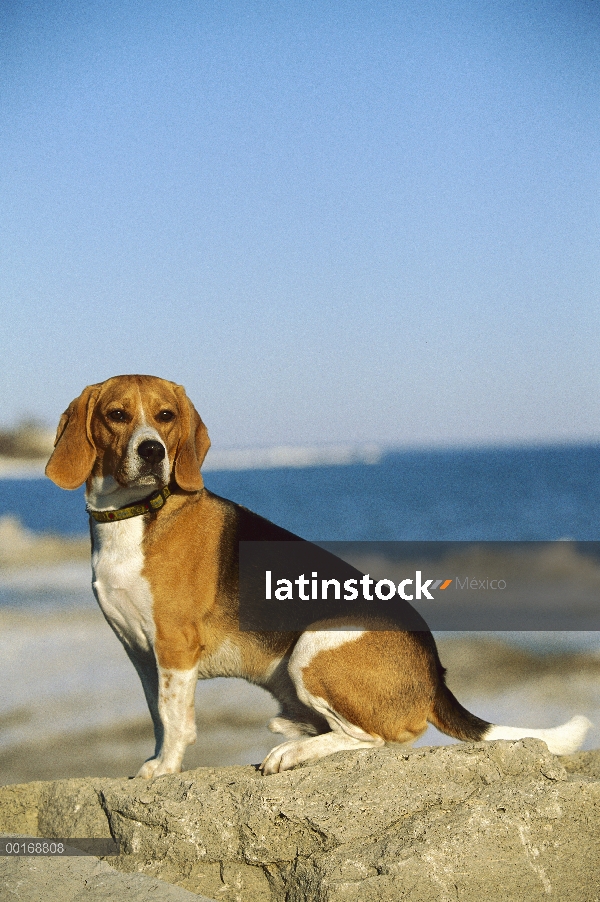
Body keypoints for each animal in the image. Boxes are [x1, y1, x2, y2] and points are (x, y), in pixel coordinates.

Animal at [45, 374, 592, 776]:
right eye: (117, 415)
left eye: (166, 417)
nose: (153, 451)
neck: (137, 514)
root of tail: (434, 673)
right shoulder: (141, 653)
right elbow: (159, 716)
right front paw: (158, 758)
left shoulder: (174, 648)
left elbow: (176, 719)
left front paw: (165, 768)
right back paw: (293, 731)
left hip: (313, 646)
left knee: (376, 739)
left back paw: (292, 750)